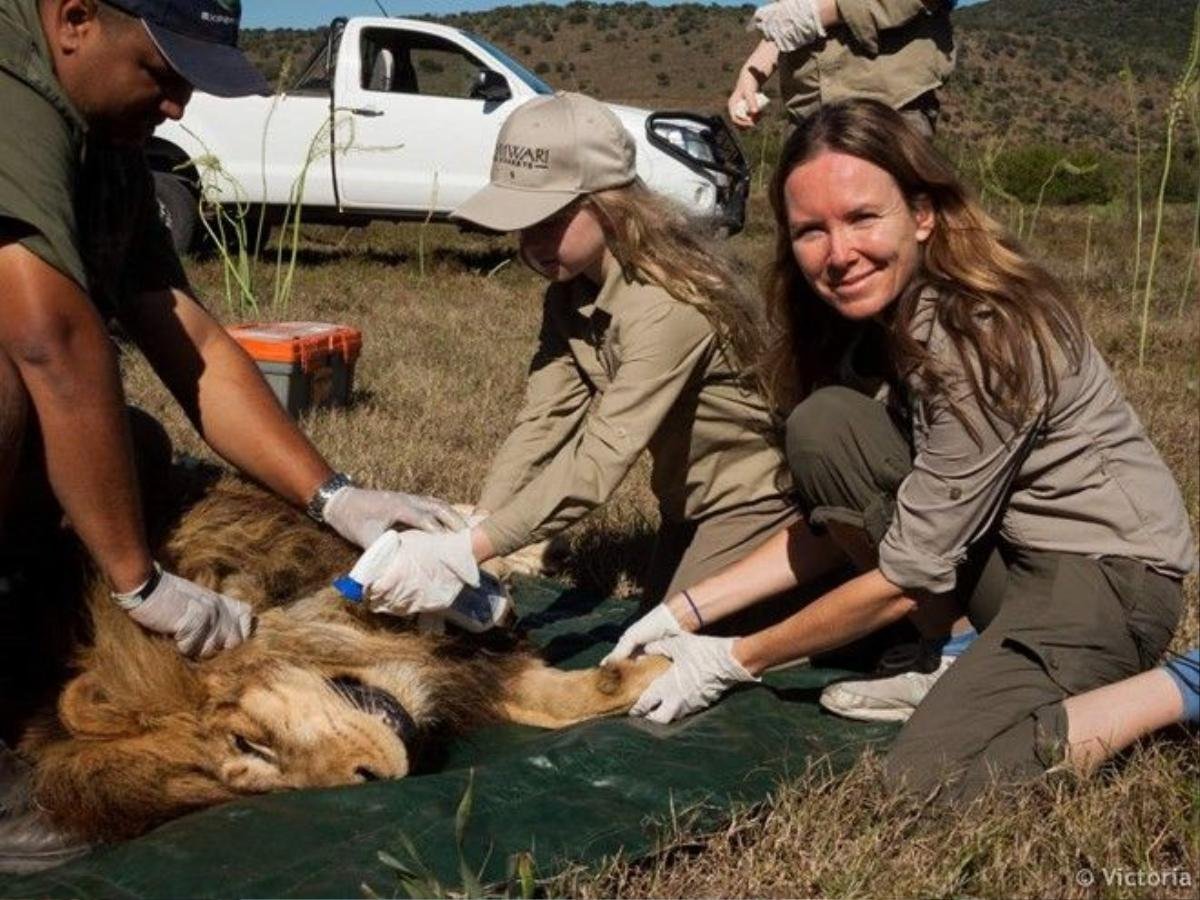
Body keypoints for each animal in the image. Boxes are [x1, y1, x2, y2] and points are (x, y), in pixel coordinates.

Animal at [9, 475, 667, 849]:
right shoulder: (474, 672)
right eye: (255, 776)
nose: (373, 779)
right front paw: (660, 672)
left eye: (246, 741)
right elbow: (561, 705)